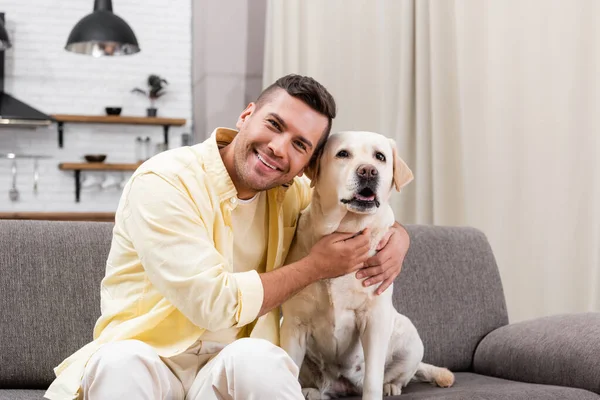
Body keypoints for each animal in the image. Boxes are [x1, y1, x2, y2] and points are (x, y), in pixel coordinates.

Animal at [282, 130, 454, 396]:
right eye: (343, 153)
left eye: (380, 157)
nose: (368, 171)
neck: (346, 231)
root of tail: (341, 384)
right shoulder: (293, 325)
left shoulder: (374, 320)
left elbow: (373, 377)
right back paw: (312, 391)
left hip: (410, 338)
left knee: (400, 374)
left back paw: (390, 386)